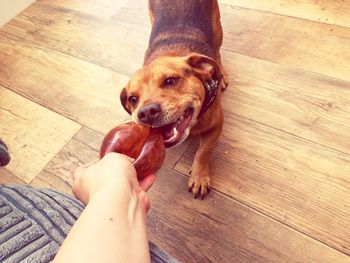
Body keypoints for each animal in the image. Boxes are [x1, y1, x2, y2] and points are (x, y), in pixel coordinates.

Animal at [120, 0, 226, 199]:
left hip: (217, 29)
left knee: (217, 53)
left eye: (170, 80)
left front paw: (199, 176)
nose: (146, 113)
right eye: (133, 99)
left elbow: (203, 152)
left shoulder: (216, 126)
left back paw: (222, 73)